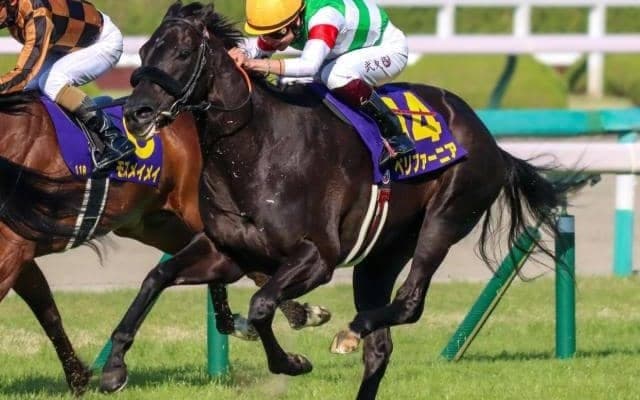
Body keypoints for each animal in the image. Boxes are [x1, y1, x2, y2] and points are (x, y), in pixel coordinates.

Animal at [0, 61, 328, 397]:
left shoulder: (12, 252)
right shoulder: (20, 254)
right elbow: (47, 310)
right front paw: (78, 378)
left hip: (196, 214)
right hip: (157, 225)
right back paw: (275, 317)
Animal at [99, 2, 584, 398]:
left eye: (182, 53)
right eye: (144, 53)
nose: (136, 113)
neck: (257, 150)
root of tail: (490, 139)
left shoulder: (317, 257)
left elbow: (260, 306)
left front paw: (291, 362)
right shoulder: (227, 252)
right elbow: (155, 280)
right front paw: (113, 368)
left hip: (446, 216)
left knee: (410, 301)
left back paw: (355, 328)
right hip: (383, 252)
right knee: (381, 347)